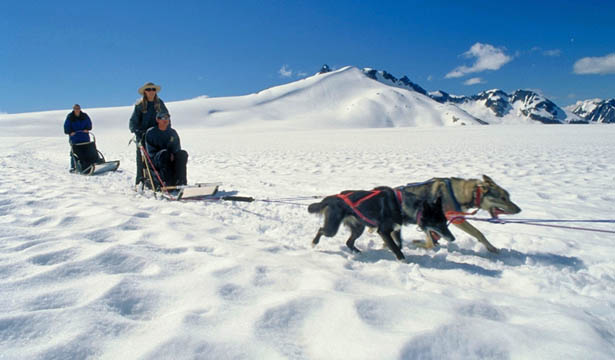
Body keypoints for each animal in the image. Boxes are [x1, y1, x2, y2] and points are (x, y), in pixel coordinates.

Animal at [308, 187, 458, 260]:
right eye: (437, 223)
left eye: (444, 221)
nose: (453, 238)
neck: (402, 205)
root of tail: (332, 198)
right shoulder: (384, 231)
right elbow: (396, 248)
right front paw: (403, 260)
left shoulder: (396, 229)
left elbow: (398, 244)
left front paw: (387, 249)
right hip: (332, 229)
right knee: (321, 230)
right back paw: (314, 243)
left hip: (359, 228)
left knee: (349, 242)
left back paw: (358, 252)